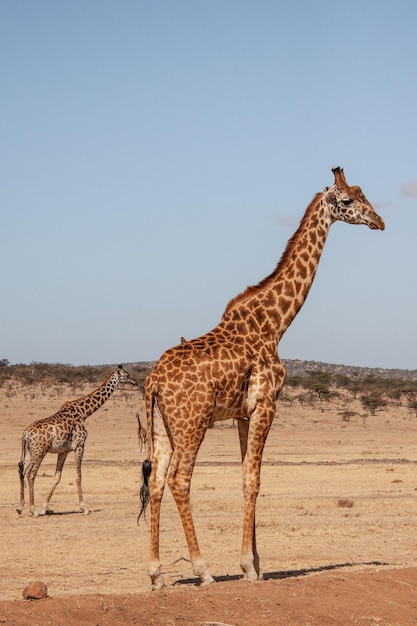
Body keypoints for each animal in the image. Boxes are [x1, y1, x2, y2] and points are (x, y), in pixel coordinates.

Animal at [16, 364, 136, 516]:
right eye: (126, 375)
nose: (135, 382)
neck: (84, 412)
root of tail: (25, 434)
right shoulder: (80, 445)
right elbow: (78, 476)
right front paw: (84, 508)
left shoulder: (64, 451)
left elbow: (57, 477)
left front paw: (44, 508)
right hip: (39, 451)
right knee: (31, 474)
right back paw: (33, 510)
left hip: (29, 452)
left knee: (22, 470)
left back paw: (20, 507)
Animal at [139, 166, 384, 584]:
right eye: (348, 200)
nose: (379, 221)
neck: (275, 324)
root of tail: (152, 381)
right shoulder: (267, 404)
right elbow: (254, 480)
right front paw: (247, 566)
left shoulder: (243, 412)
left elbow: (244, 478)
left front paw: (255, 566)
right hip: (192, 423)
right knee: (178, 480)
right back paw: (202, 570)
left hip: (162, 426)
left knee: (155, 481)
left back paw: (155, 574)